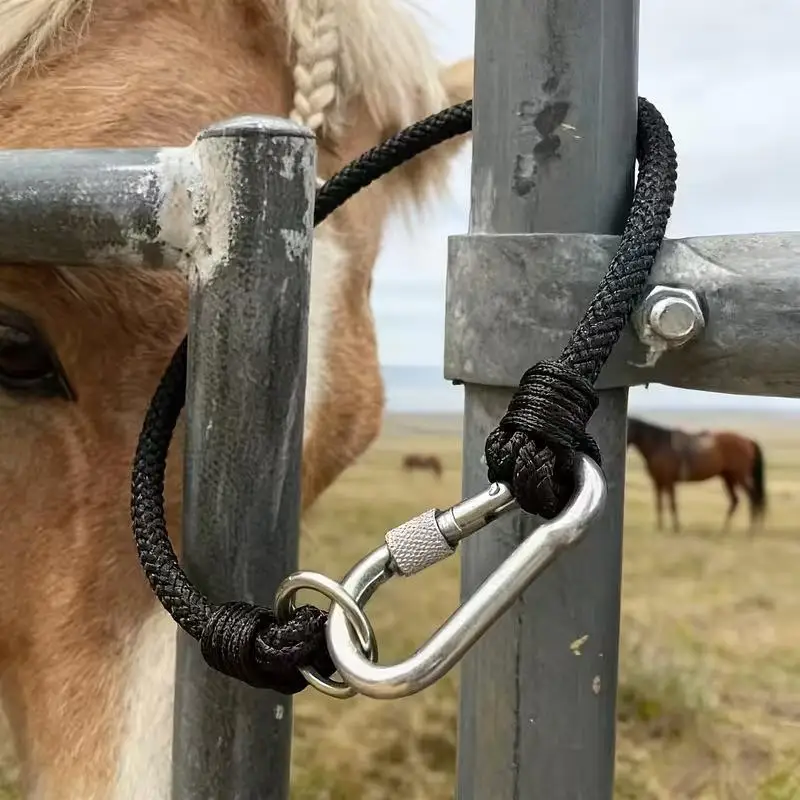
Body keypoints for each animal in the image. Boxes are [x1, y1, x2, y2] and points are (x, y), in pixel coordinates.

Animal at [626, 416, 766, 534]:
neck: (659, 444)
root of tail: (747, 441)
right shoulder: (658, 482)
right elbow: (659, 504)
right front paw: (660, 528)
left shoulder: (669, 482)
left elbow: (672, 504)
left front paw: (676, 528)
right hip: (728, 478)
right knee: (735, 501)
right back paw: (724, 529)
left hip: (739, 477)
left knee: (753, 498)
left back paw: (751, 531)